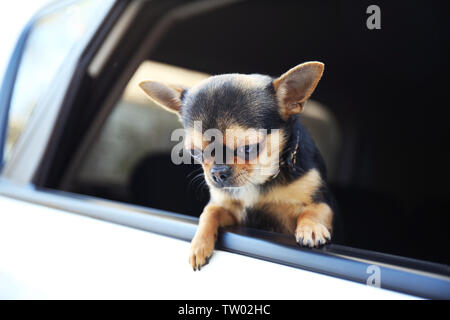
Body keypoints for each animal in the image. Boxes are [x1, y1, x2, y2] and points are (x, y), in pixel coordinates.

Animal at [141, 62, 334, 270]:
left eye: (248, 148)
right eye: (195, 152)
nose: (217, 173)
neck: (258, 182)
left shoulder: (322, 203)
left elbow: (312, 210)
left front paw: (311, 228)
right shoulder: (232, 212)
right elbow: (210, 211)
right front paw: (199, 244)